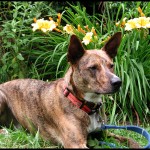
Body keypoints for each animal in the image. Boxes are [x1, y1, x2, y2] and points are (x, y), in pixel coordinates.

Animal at [0, 32, 139, 148]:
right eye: (93, 67)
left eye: (111, 65)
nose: (118, 82)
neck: (82, 103)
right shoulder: (75, 144)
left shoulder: (104, 134)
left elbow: (131, 140)